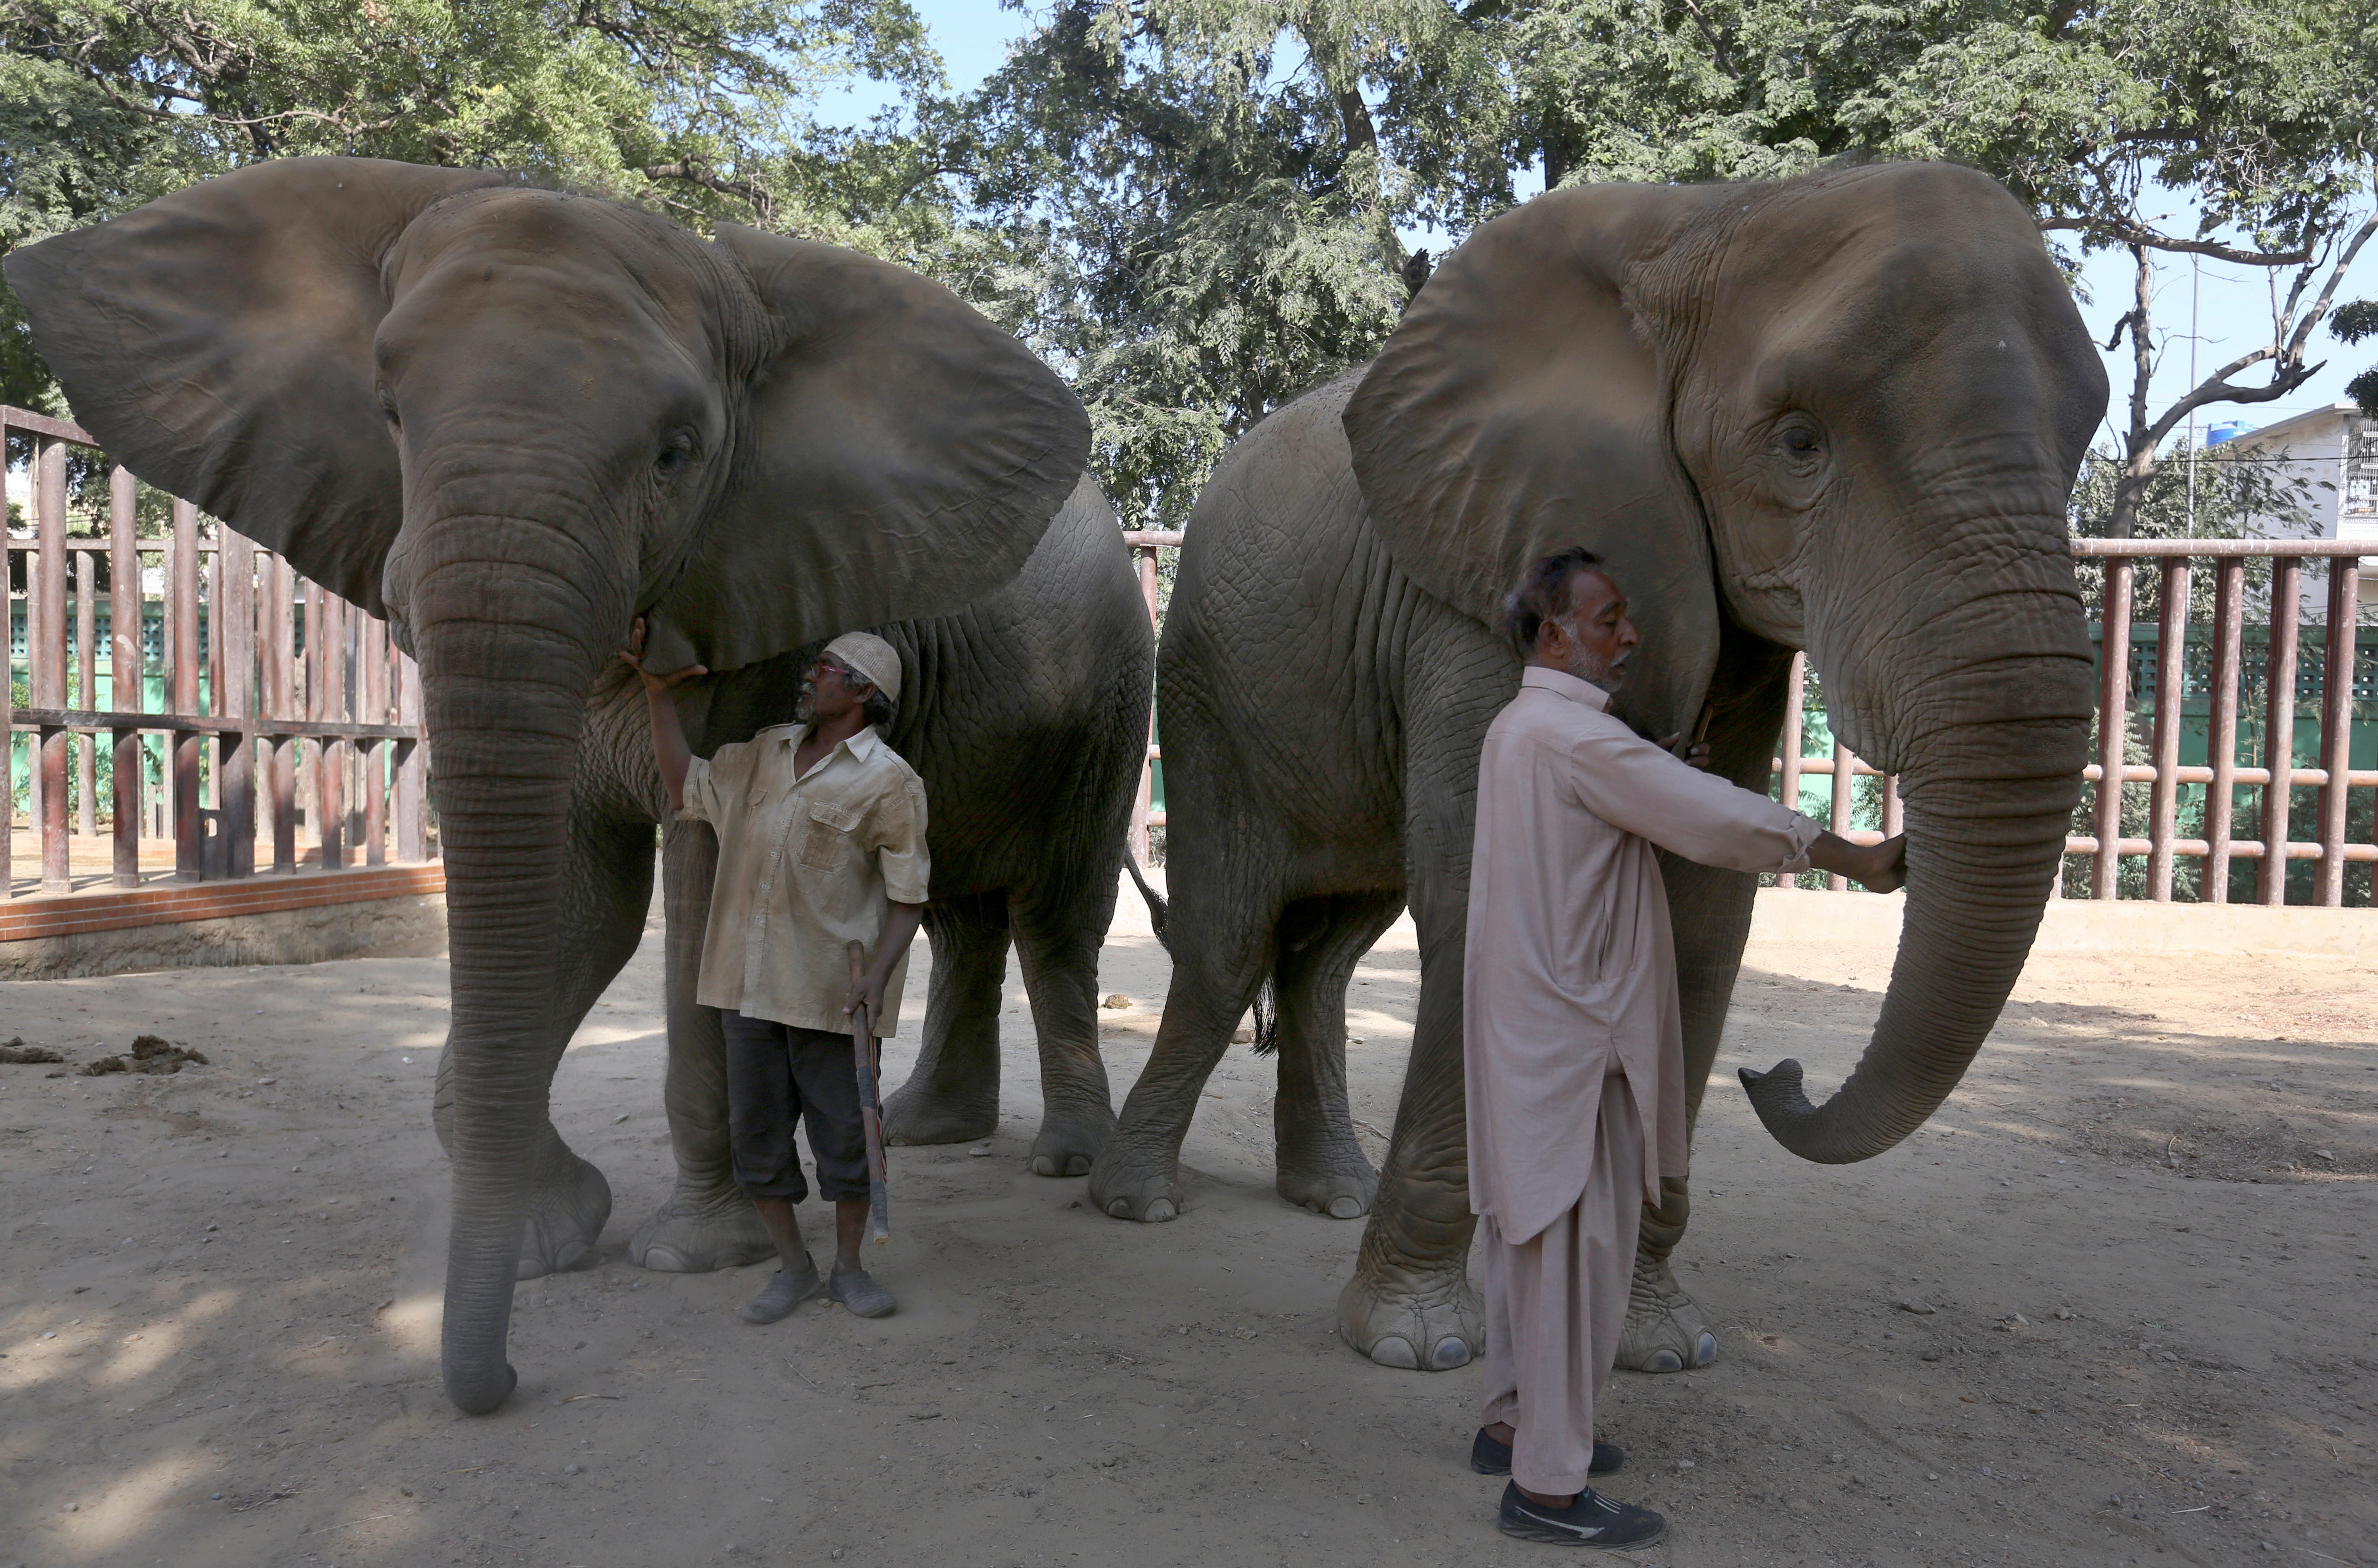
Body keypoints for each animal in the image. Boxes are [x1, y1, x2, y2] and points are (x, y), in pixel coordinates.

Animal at [7, 153, 1122, 1418]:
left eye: (678, 452)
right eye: (389, 412)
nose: (492, 1386)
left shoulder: (764, 612)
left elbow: (698, 891)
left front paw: (695, 1252)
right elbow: (577, 913)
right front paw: (553, 1238)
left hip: (1108, 691)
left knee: (1056, 917)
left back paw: (1066, 1162)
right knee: (958, 915)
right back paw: (933, 1133)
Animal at [1089, 165, 2111, 1380]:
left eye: (2082, 438)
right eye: (1798, 442)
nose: (1775, 1076)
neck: (1713, 221)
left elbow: (1705, 916)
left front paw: (1658, 1346)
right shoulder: (1479, 582)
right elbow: (1476, 892)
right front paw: (1418, 1343)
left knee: (1328, 953)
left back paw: (1329, 1194)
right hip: (1206, 689)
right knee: (1228, 940)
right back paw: (1137, 1203)